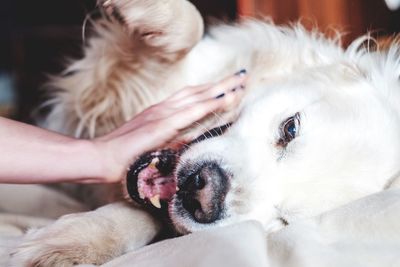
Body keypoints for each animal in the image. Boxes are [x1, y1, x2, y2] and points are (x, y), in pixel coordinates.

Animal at [8, 0, 400, 266]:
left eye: (285, 219)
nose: (203, 193)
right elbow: (191, 26)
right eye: (290, 128)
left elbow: (139, 216)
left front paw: (71, 242)